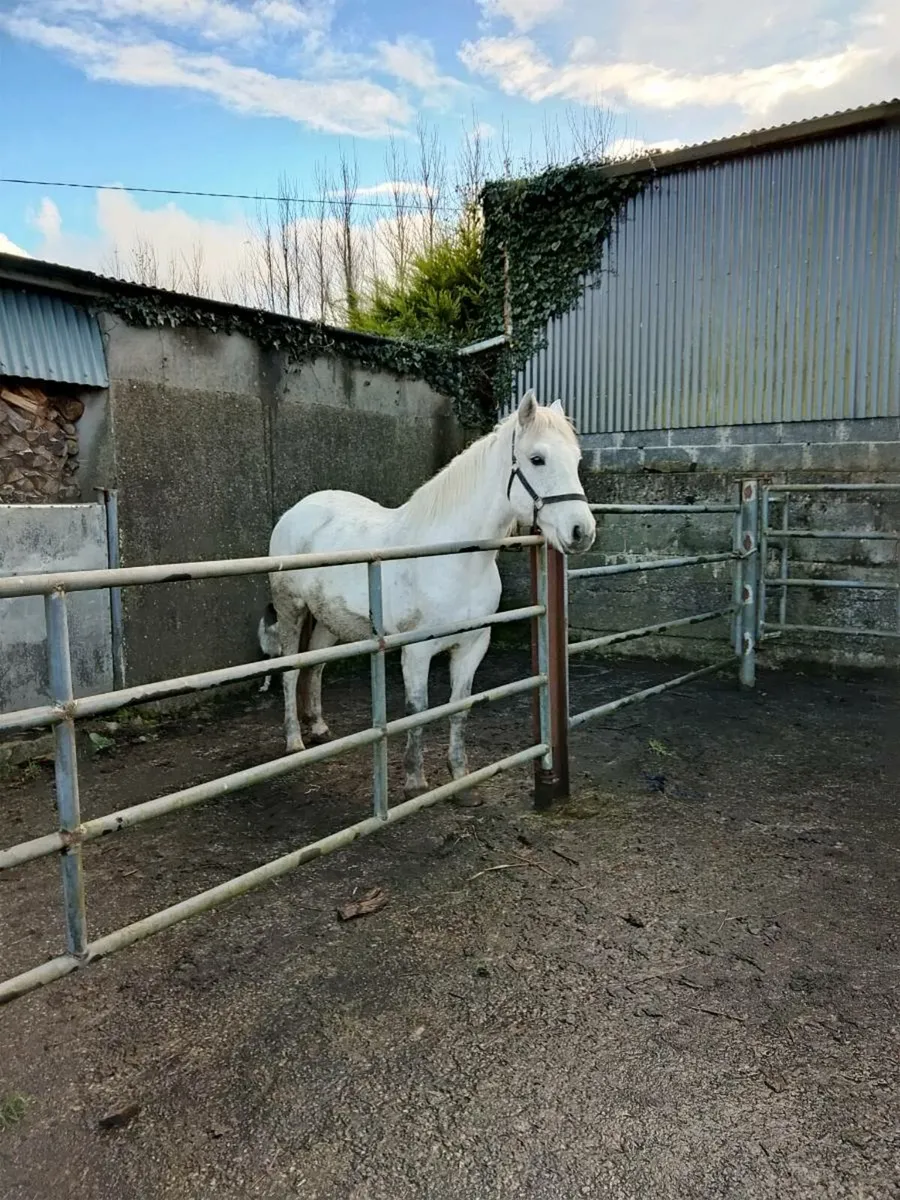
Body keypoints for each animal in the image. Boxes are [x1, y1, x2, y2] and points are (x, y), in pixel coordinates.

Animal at [266, 390, 595, 800]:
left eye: (576, 460)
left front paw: (460, 778)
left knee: (316, 667)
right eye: (537, 459)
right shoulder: (417, 651)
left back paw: (320, 729)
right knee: (291, 670)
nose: (582, 531)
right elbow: (418, 711)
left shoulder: (473, 646)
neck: (453, 559)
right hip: (291, 611)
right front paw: (414, 781)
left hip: (331, 622)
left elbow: (459, 708)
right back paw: (294, 741)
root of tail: (296, 511)